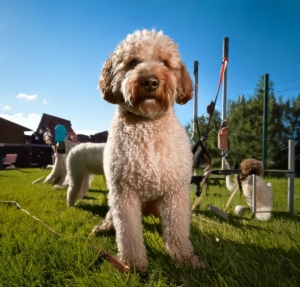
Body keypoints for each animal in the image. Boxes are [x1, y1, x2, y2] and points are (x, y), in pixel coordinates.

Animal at [92, 30, 204, 274]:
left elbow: (178, 231)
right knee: (112, 217)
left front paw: (185, 258)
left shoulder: (176, 192)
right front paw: (133, 264)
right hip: (115, 199)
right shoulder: (124, 193)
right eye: (133, 62)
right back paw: (104, 227)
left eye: (165, 62)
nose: (150, 81)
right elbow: (128, 234)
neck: (147, 125)